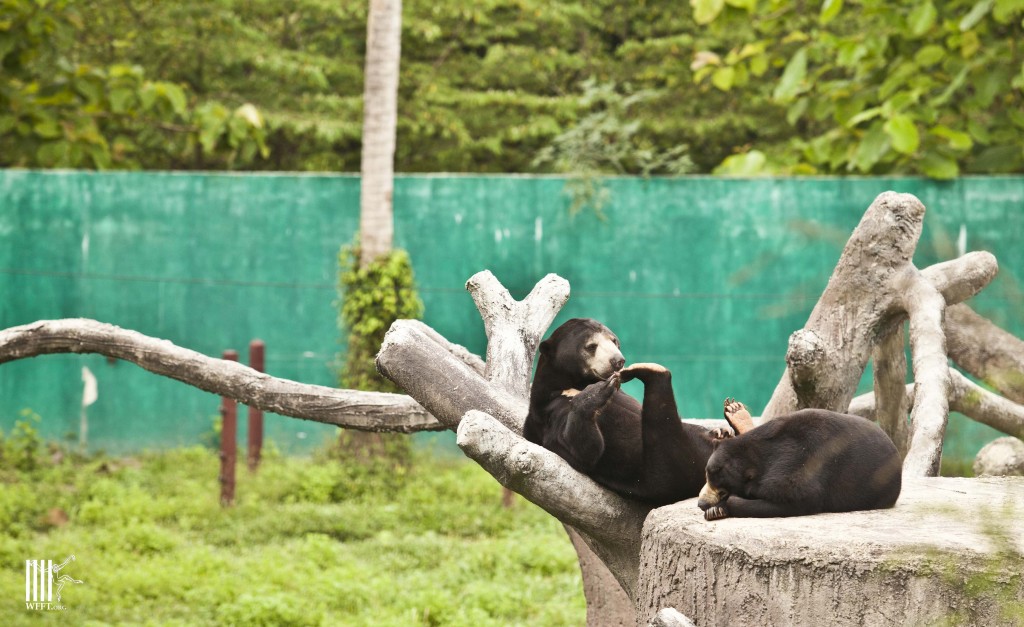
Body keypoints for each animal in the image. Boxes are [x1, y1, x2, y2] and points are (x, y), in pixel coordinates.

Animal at [524, 317, 724, 504]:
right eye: (591, 346)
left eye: (614, 341)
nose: (618, 361)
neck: (575, 383)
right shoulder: (551, 411)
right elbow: (583, 450)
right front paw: (597, 392)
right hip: (669, 466)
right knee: (662, 424)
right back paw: (651, 370)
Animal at [696, 401, 905, 518]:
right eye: (706, 476)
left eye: (720, 488)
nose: (701, 504)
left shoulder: (798, 464)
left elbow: (798, 498)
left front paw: (719, 509)